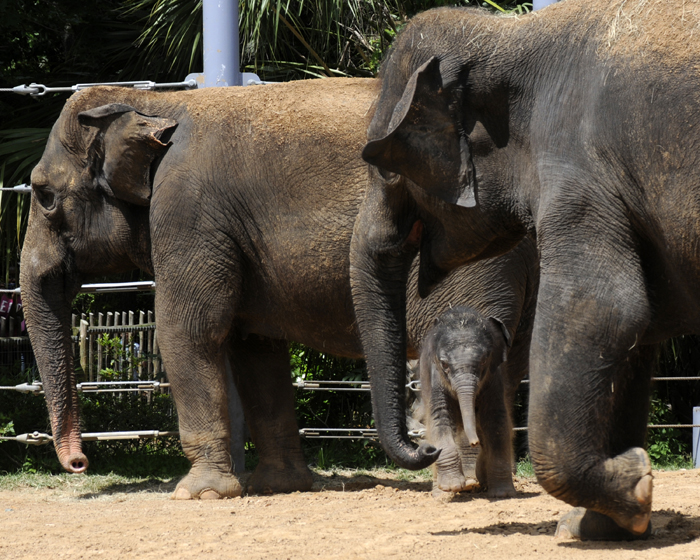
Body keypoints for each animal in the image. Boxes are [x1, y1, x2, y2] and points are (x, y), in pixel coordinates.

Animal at [21, 77, 536, 500]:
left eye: (44, 195)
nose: (79, 463)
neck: (155, 103)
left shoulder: (187, 211)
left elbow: (188, 330)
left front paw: (199, 494)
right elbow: (256, 346)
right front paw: (279, 486)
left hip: (471, 256)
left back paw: (456, 487)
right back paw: (494, 487)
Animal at [349, 0, 700, 540]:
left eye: (386, 166)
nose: (424, 444)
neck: (511, 36)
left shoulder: (581, 174)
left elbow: (603, 308)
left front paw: (635, 487)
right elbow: (640, 329)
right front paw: (603, 522)